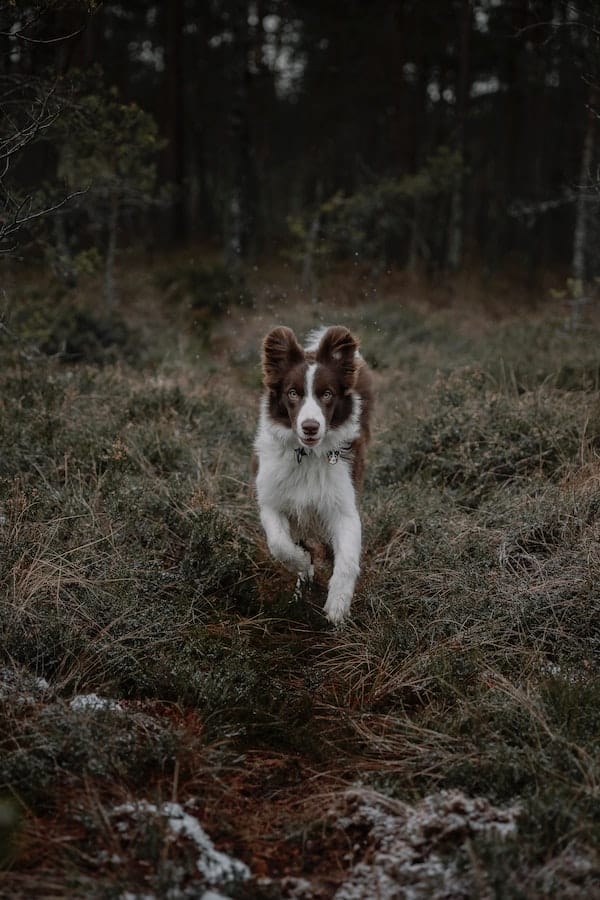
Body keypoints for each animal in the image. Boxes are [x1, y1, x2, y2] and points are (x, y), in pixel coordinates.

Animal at [254, 326, 376, 624]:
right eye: (293, 393)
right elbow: (280, 544)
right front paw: (304, 564)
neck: (306, 455)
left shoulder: (343, 506)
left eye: (327, 394)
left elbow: (347, 560)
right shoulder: (271, 500)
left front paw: (337, 606)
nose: (310, 427)